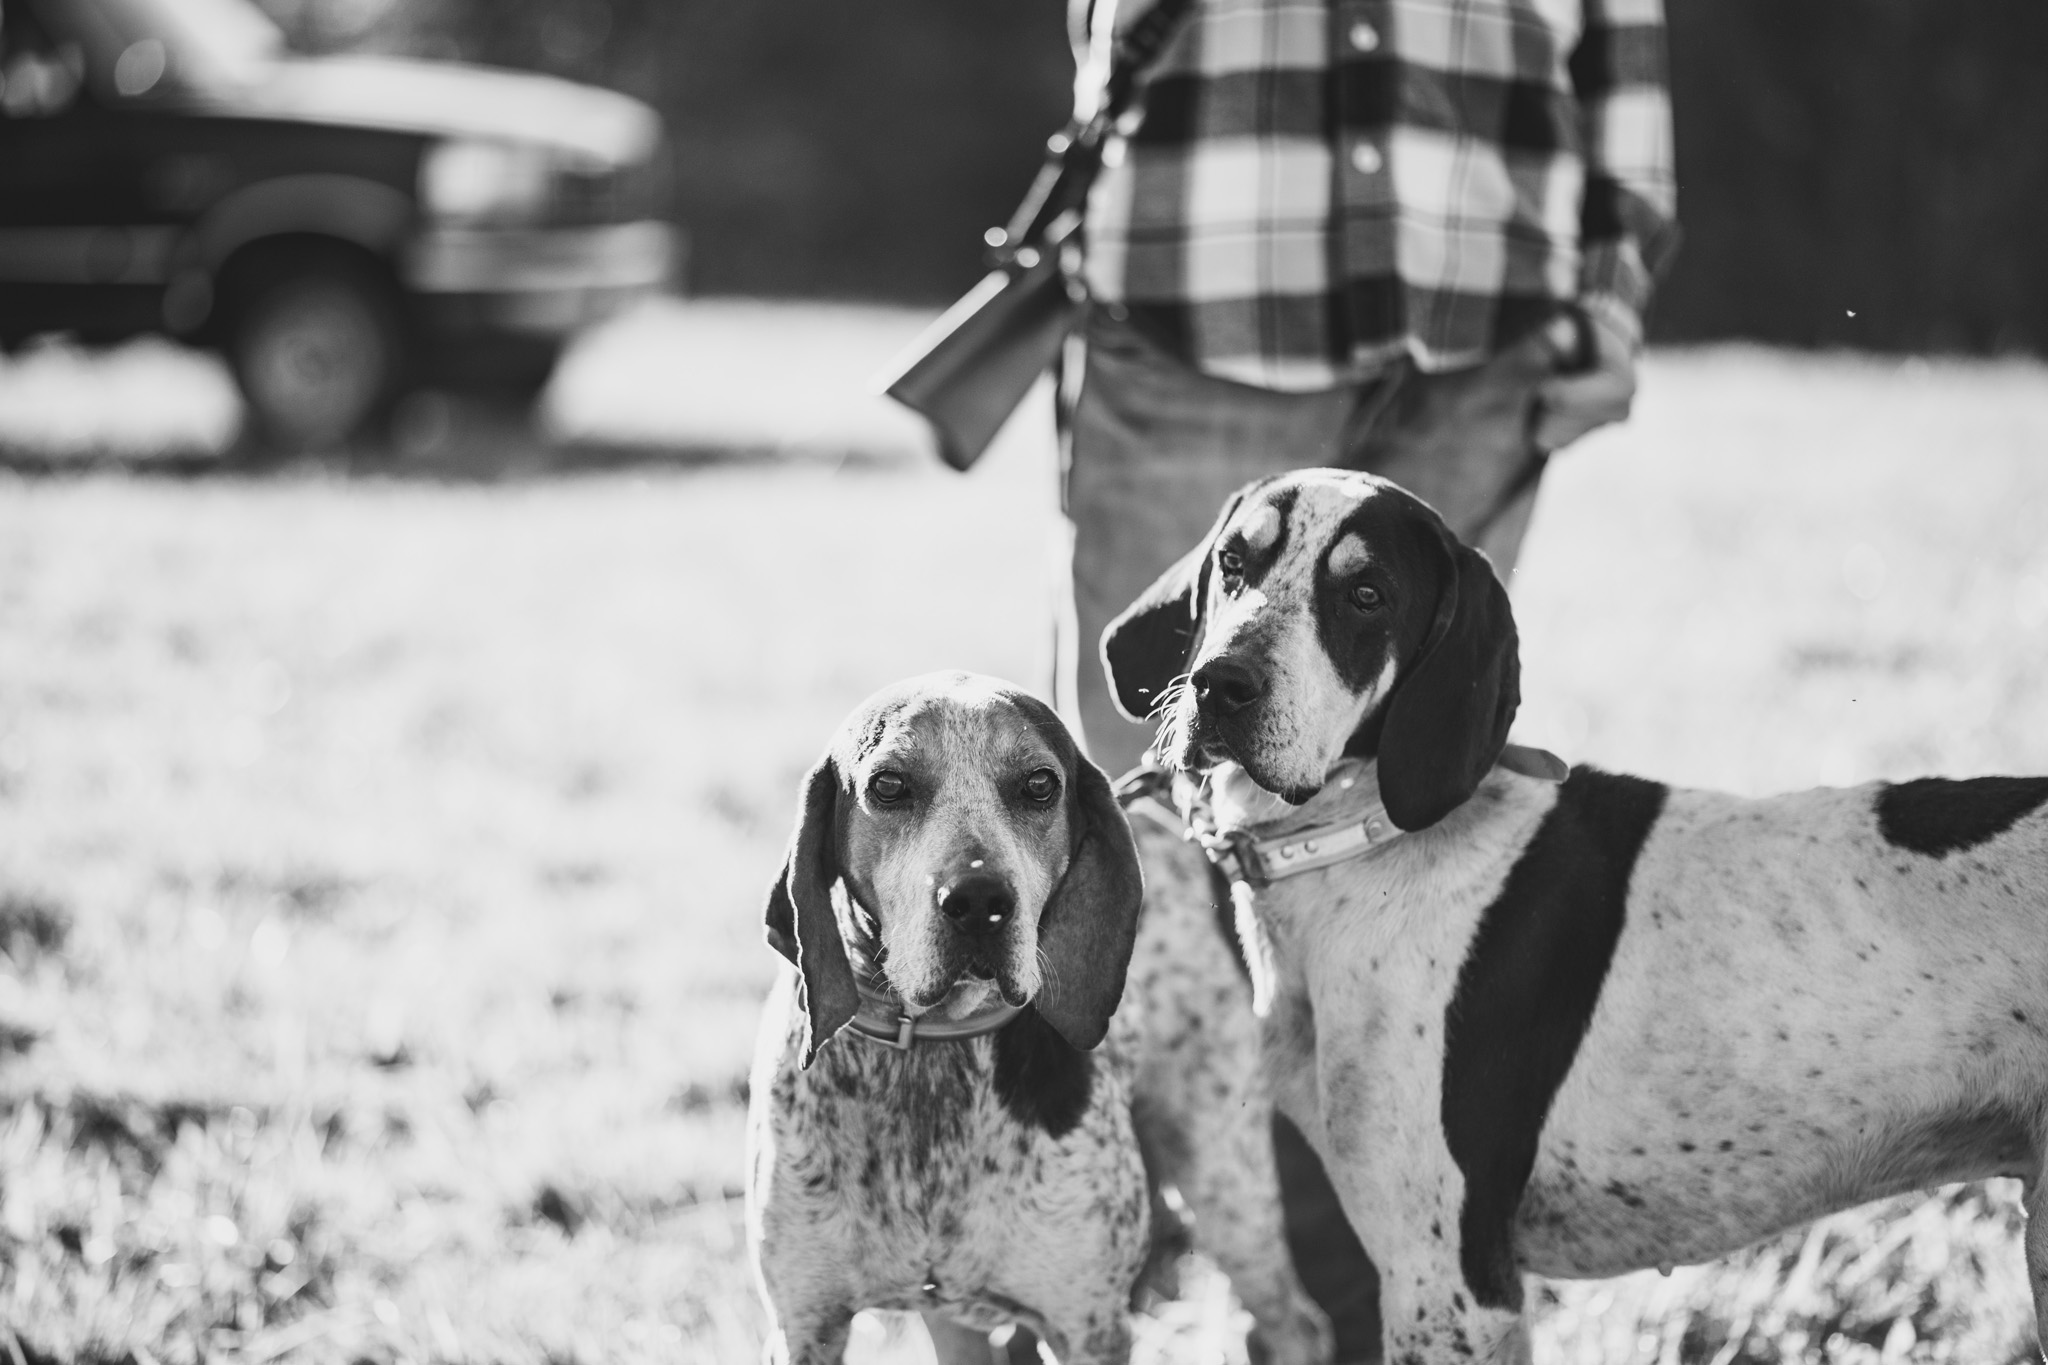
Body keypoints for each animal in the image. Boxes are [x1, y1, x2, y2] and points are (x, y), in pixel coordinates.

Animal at [745, 671, 1335, 1365]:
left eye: (1038, 785)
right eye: (888, 785)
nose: (979, 902)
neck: (933, 1045)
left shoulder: (1087, 1328)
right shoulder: (805, 1327)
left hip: (1225, 1181)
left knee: (1296, 1323)